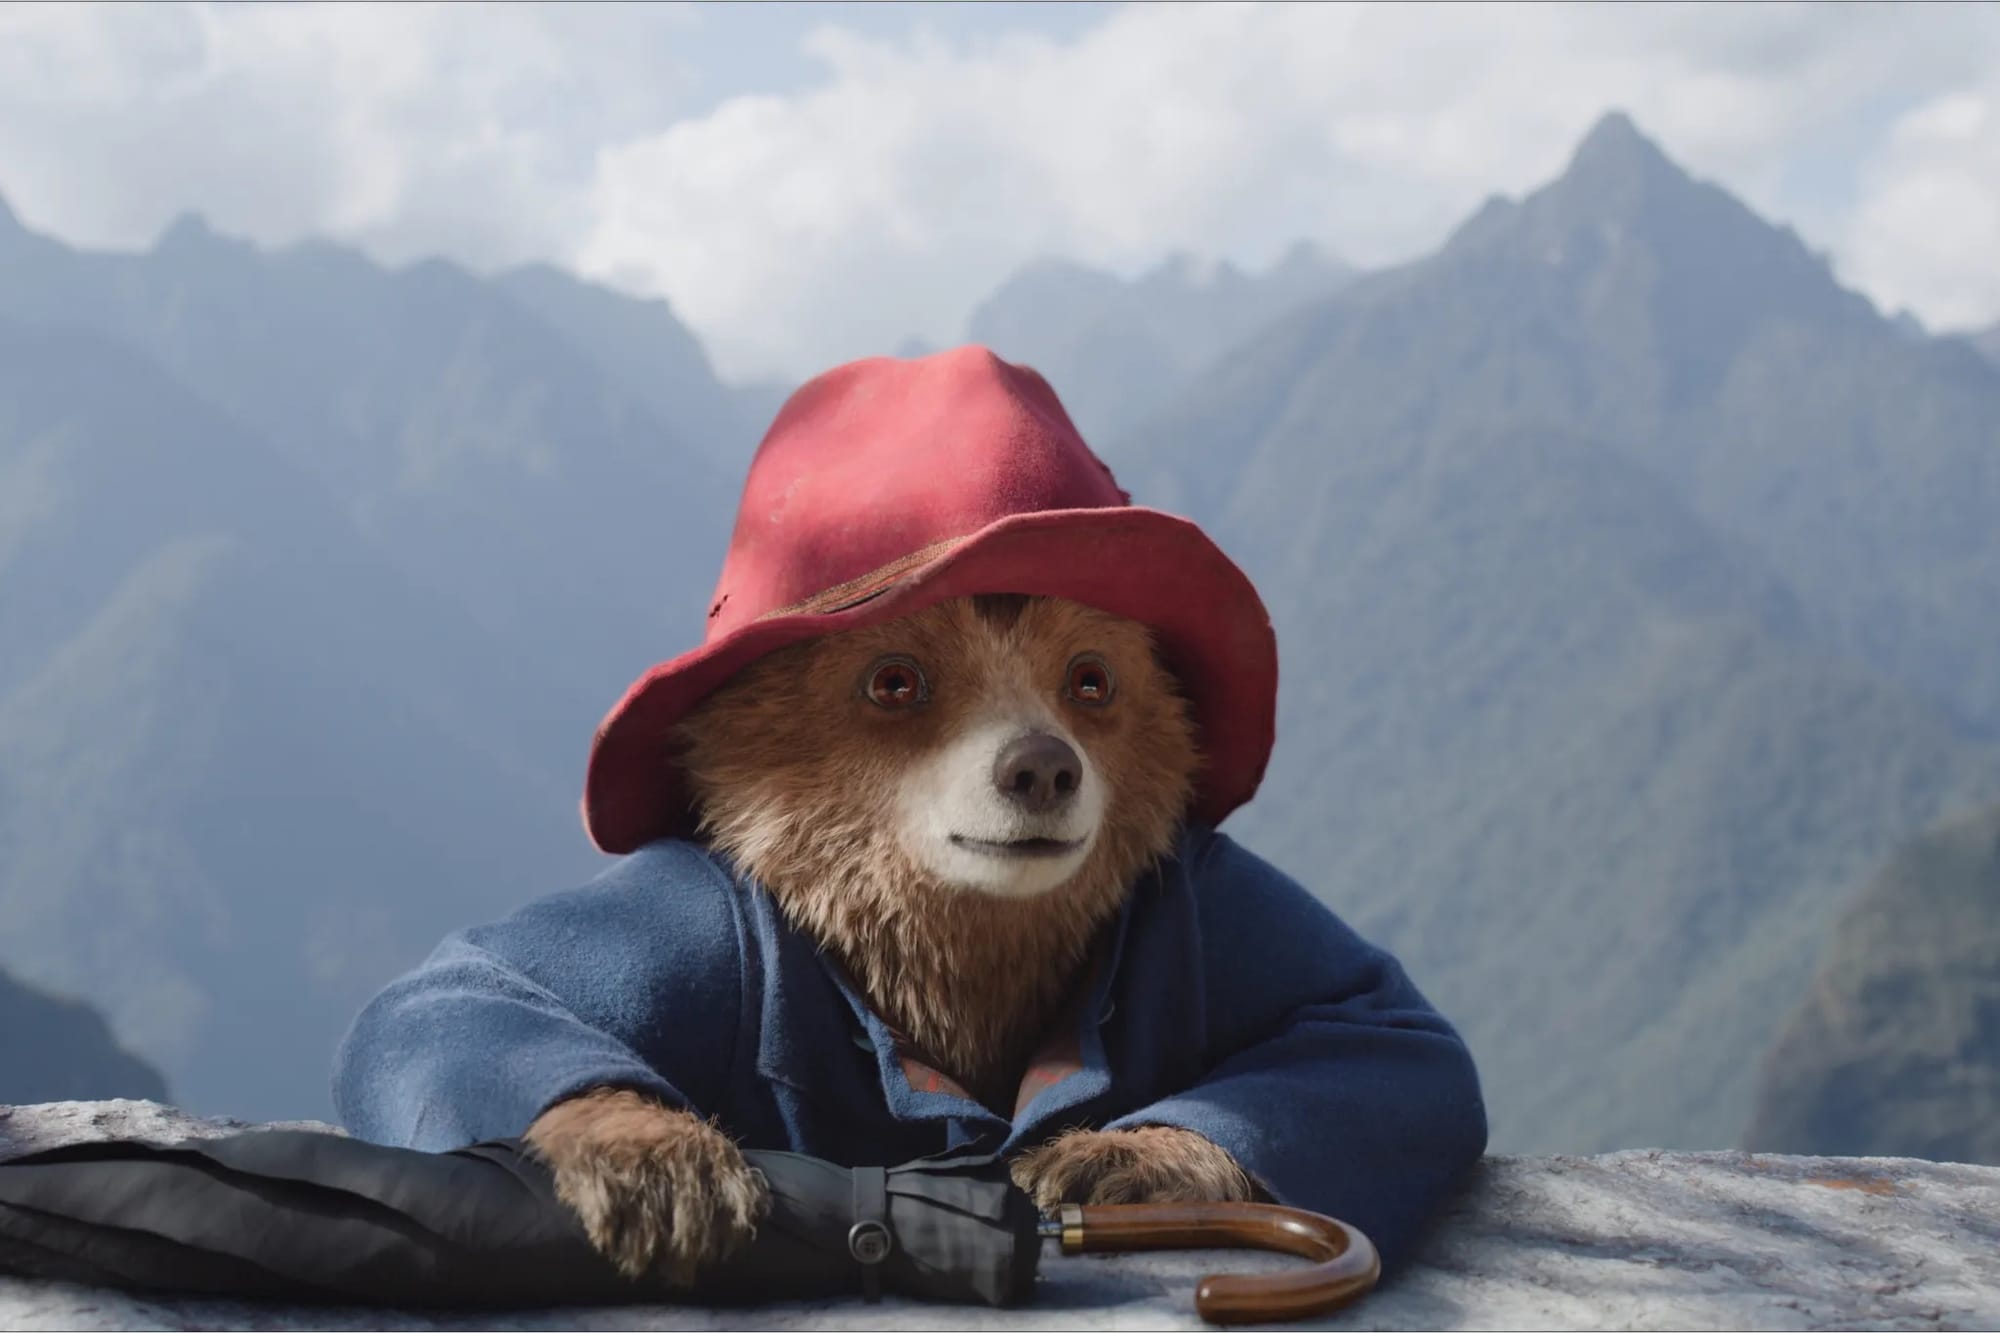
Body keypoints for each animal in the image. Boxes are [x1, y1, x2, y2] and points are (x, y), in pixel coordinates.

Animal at [332, 345, 1487, 1293]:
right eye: (894, 678)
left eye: (1092, 677)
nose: (1041, 766)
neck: (956, 970)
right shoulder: (704, 918)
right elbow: (463, 992)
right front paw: (655, 1160)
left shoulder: (1208, 898)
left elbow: (1381, 1030)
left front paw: (1114, 1153)